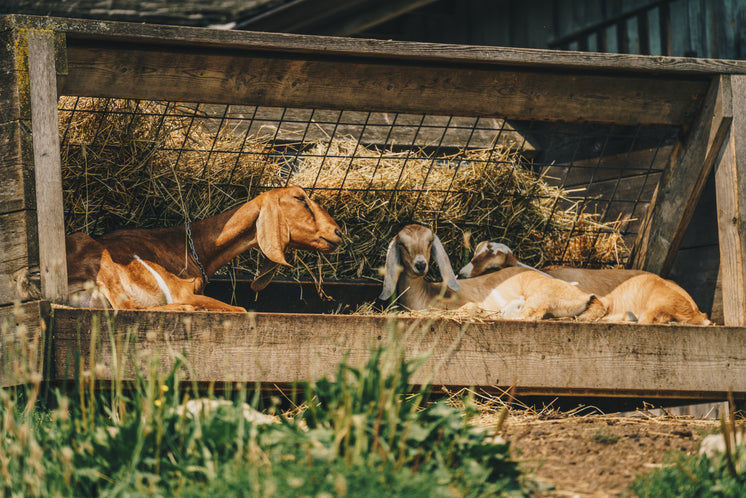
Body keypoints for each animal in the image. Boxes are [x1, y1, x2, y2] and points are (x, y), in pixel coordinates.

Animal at [65, 187, 342, 312]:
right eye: (299, 198)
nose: (338, 232)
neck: (190, 246)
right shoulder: (182, 291)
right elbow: (241, 309)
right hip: (101, 261)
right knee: (128, 308)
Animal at [378, 225, 604, 320]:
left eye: (429, 242)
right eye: (402, 244)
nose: (420, 265)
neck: (425, 292)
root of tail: (589, 297)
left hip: (542, 295)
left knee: (529, 315)